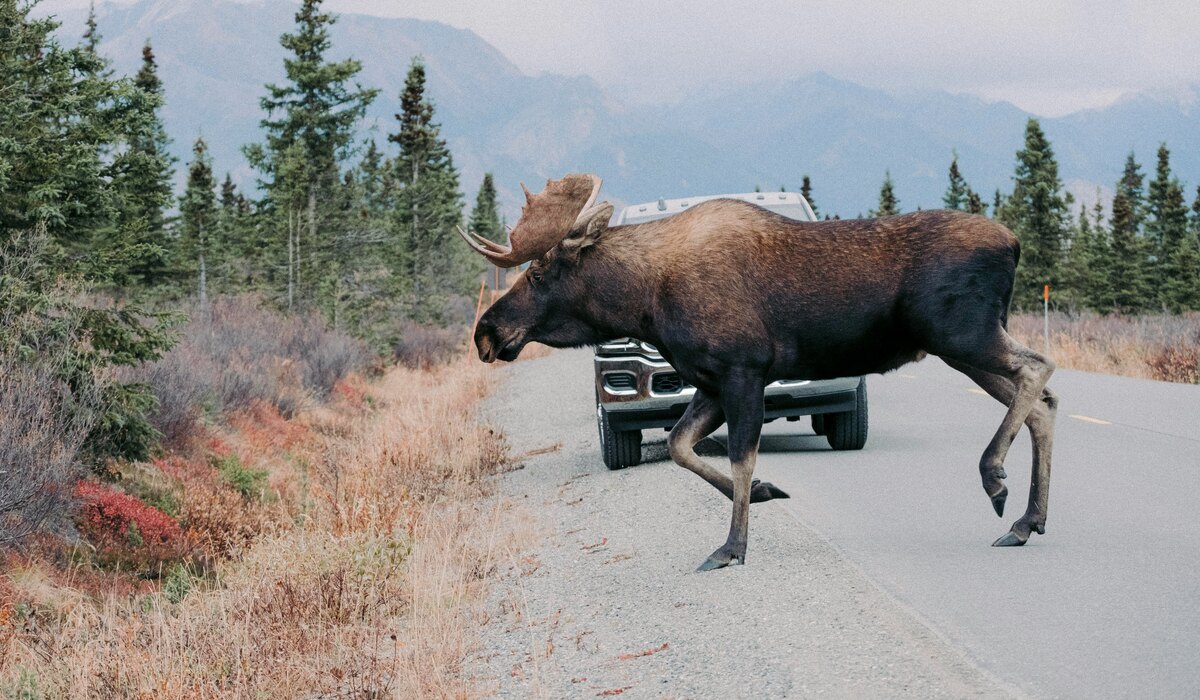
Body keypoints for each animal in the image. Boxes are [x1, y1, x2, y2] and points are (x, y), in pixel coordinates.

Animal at [458, 173, 1057, 571]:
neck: (645, 302)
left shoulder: (742, 370)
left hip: (963, 335)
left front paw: (731, 547)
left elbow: (739, 457)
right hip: (962, 346)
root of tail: (1014, 243)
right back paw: (1026, 523)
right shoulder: (709, 381)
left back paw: (994, 478)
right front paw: (769, 492)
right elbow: (680, 445)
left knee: (1040, 369)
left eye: (539, 274)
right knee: (1043, 406)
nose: (485, 332)